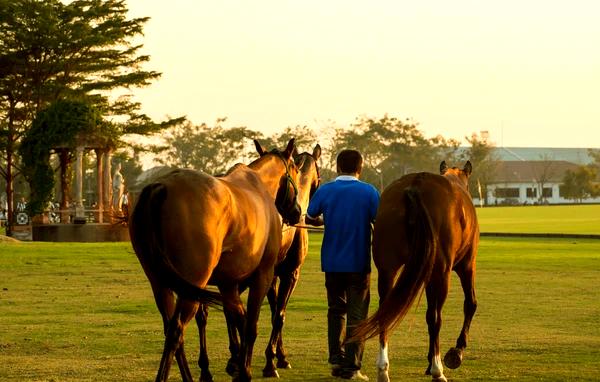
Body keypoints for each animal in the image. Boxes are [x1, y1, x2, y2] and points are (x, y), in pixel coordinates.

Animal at [129, 140, 302, 382]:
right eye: (295, 169)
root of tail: (161, 188)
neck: (259, 188)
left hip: (161, 283)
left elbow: (239, 319)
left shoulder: (228, 284)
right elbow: (250, 325)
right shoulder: (263, 276)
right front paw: (245, 371)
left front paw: (239, 367)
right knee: (176, 330)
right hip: (193, 285)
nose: (297, 211)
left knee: (171, 328)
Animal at [195, 144, 322, 382]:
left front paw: (274, 356)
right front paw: (270, 361)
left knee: (203, 314)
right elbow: (278, 315)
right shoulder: (290, 274)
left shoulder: (268, 276)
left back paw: (211, 367)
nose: (303, 214)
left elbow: (267, 312)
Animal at [354, 160, 480, 382]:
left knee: (385, 312)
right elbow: (469, 304)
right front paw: (456, 352)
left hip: (388, 269)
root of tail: (415, 185)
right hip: (442, 273)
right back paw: (438, 370)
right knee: (436, 317)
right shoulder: (466, 266)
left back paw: (383, 368)